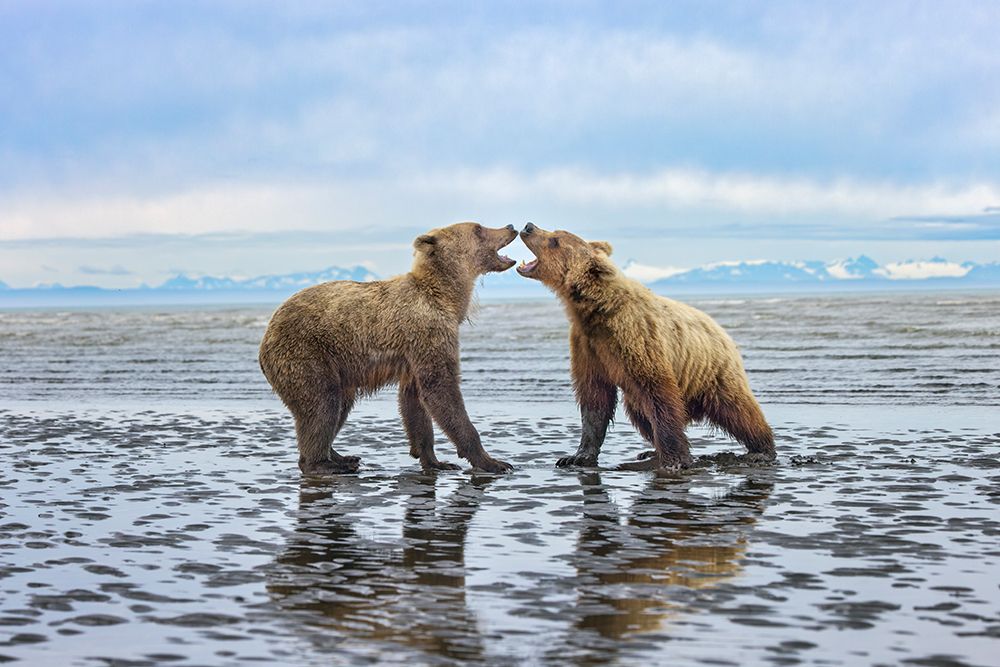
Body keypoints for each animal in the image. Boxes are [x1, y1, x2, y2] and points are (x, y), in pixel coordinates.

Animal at [259, 222, 518, 475]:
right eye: (478, 228)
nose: (511, 226)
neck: (447, 298)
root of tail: (266, 335)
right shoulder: (427, 332)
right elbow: (441, 388)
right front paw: (493, 462)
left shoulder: (413, 352)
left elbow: (414, 401)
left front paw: (435, 460)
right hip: (307, 354)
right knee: (323, 404)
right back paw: (324, 464)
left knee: (340, 405)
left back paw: (344, 457)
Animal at [516, 222, 775, 470]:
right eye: (554, 233)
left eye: (555, 240)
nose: (528, 226)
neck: (594, 309)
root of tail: (720, 330)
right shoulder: (587, 345)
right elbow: (594, 398)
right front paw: (575, 457)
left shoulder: (634, 336)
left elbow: (657, 392)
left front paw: (675, 460)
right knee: (639, 412)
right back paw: (650, 451)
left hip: (711, 370)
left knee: (737, 409)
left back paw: (761, 449)